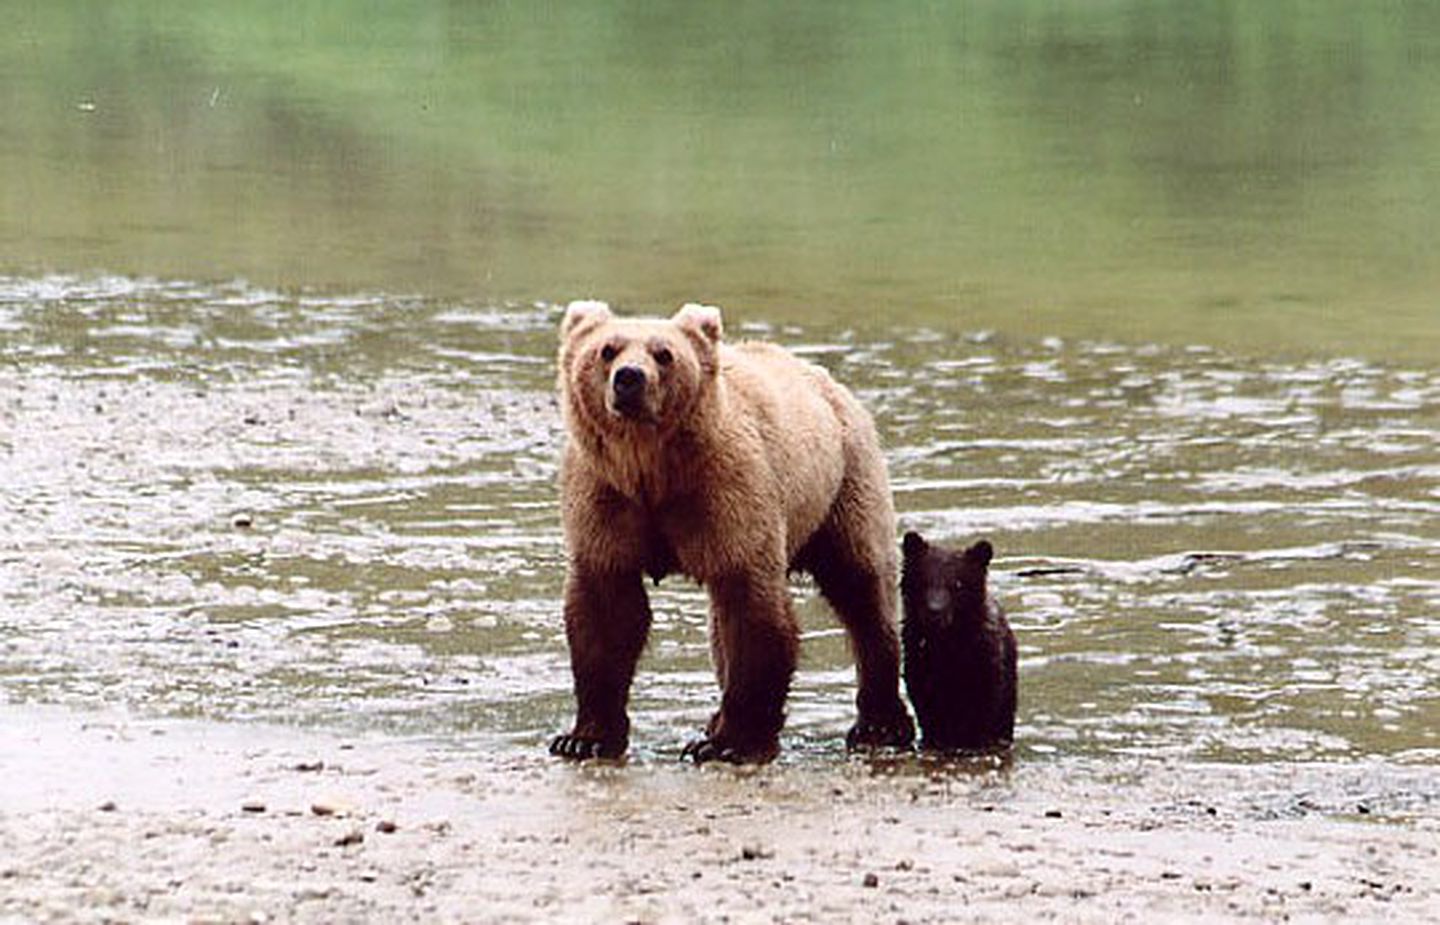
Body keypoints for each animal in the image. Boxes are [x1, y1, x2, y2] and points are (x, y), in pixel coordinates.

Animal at [550, 299, 910, 760]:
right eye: (606, 350)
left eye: (664, 353)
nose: (629, 378)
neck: (652, 471)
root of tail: (827, 381)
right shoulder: (605, 499)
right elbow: (606, 610)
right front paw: (583, 738)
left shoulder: (727, 491)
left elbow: (749, 610)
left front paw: (727, 743)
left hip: (844, 484)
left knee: (862, 589)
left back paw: (879, 725)